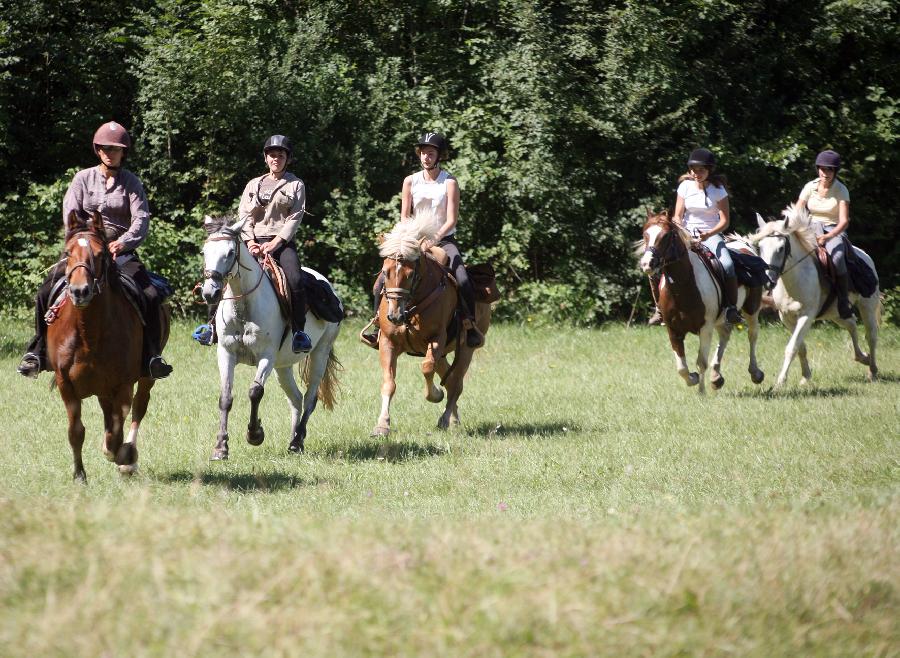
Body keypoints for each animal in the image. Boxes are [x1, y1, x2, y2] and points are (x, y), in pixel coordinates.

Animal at [46, 213, 170, 480]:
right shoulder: (65, 384)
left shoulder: (123, 384)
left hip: (145, 378)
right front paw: (79, 475)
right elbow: (76, 431)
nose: (80, 291)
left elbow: (117, 430)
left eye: (101, 253)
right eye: (67, 252)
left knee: (139, 408)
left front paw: (122, 456)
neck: (89, 333)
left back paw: (128, 458)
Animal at [200, 215, 342, 456]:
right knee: (295, 398)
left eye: (230, 252)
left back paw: (298, 439)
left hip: (320, 354)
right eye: (204, 251)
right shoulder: (226, 353)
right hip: (283, 366)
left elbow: (255, 392)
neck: (244, 307)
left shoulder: (266, 356)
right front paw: (221, 447)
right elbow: (225, 397)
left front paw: (255, 434)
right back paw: (293, 441)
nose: (211, 293)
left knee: (309, 399)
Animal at [368, 211, 488, 436]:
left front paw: (435, 395)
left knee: (456, 383)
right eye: (385, 272)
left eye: (410, 274)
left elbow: (426, 368)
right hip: (443, 352)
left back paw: (445, 419)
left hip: (466, 349)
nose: (394, 316)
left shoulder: (436, 339)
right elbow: (389, 383)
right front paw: (382, 425)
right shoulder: (387, 342)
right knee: (451, 380)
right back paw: (454, 419)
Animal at [636, 210, 764, 392]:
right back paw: (716, 377)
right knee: (725, 335)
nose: (647, 263)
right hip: (722, 318)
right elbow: (682, 368)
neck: (683, 286)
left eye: (666, 235)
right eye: (645, 234)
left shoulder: (705, 328)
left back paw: (755, 373)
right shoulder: (673, 330)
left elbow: (701, 362)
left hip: (751, 308)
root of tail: (745, 245)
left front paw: (701, 392)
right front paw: (694, 378)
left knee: (752, 335)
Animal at [744, 201, 880, 384]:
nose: (768, 280)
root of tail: (865, 255)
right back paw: (862, 357)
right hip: (835, 313)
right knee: (851, 324)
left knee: (871, 335)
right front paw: (805, 376)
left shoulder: (806, 316)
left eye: (781, 248)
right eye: (760, 247)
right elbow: (800, 347)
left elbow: (792, 346)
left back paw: (872, 370)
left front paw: (781, 381)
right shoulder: (786, 317)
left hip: (867, 307)